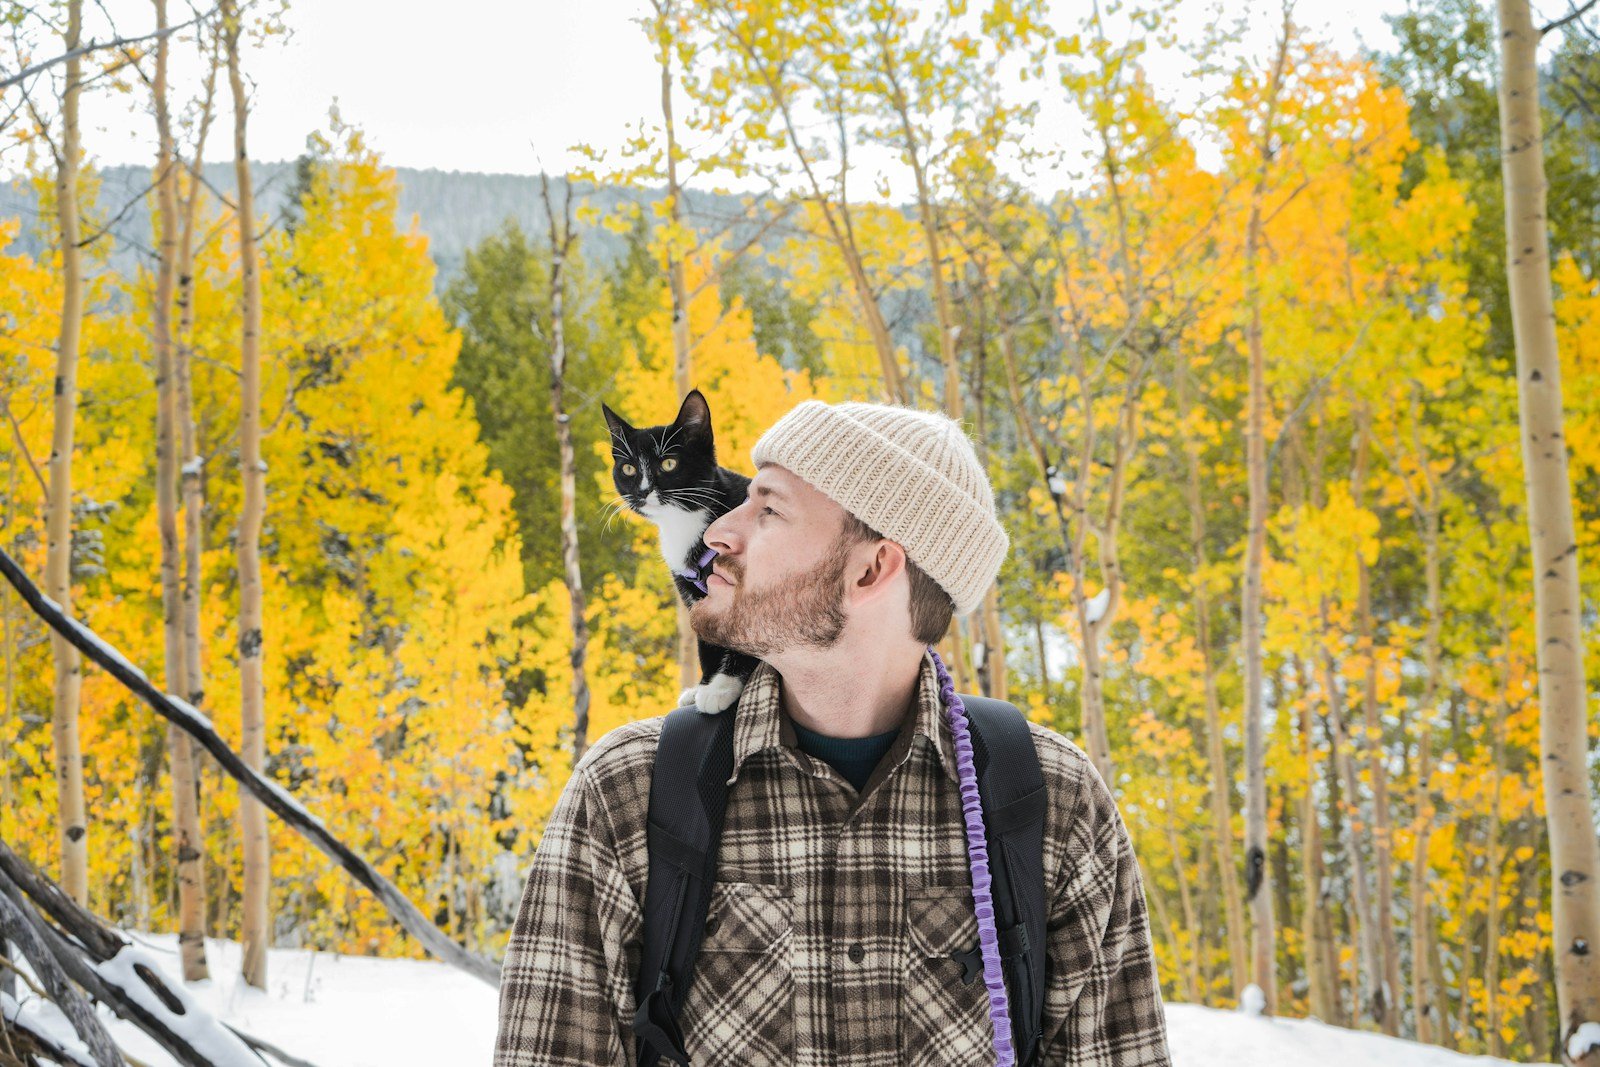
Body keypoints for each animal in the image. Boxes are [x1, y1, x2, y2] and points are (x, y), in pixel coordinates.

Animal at [601, 388, 764, 713]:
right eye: (628, 468)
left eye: (668, 464)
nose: (643, 491)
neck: (685, 522)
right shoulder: (693, 594)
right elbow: (707, 640)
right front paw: (702, 687)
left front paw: (721, 688)